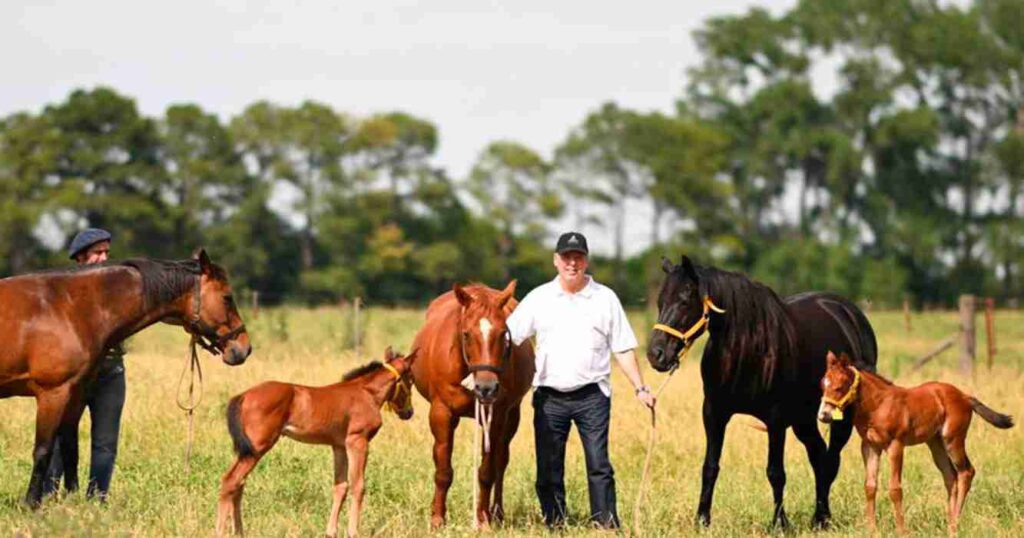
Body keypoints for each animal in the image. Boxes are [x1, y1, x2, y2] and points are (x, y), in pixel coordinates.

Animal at [0, 248, 250, 507]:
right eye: (227, 297)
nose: (244, 348)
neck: (68, 308)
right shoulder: (52, 393)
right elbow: (43, 450)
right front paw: (31, 504)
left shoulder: (75, 394)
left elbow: (70, 448)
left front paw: (71, 502)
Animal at [216, 347, 418, 538]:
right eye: (410, 379)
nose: (408, 412)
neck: (366, 393)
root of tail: (244, 395)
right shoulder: (357, 441)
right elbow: (358, 485)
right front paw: (353, 532)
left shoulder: (339, 446)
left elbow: (340, 487)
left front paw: (330, 532)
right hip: (257, 448)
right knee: (231, 480)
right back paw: (221, 531)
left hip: (247, 450)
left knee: (239, 483)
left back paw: (239, 531)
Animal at [410, 281, 534, 529]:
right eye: (466, 334)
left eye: (504, 334)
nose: (486, 388)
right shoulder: (441, 413)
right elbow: (443, 470)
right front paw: (437, 518)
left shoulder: (496, 416)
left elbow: (487, 471)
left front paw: (483, 519)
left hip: (512, 416)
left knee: (501, 462)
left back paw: (497, 513)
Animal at [646, 255, 877, 529]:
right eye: (660, 302)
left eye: (684, 301)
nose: (656, 354)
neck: (747, 346)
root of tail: (850, 314)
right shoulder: (714, 413)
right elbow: (710, 467)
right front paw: (702, 520)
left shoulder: (775, 419)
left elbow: (775, 472)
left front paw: (780, 523)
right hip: (803, 419)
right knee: (819, 456)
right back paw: (820, 517)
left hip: (841, 416)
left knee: (831, 460)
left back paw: (822, 518)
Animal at [818, 351, 1014, 534]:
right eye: (822, 384)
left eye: (839, 387)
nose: (823, 415)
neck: (878, 405)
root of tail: (965, 396)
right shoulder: (869, 446)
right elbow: (870, 486)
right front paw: (872, 530)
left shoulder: (895, 445)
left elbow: (895, 489)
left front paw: (901, 531)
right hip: (936, 444)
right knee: (950, 476)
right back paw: (949, 522)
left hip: (953, 439)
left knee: (966, 472)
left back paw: (955, 524)